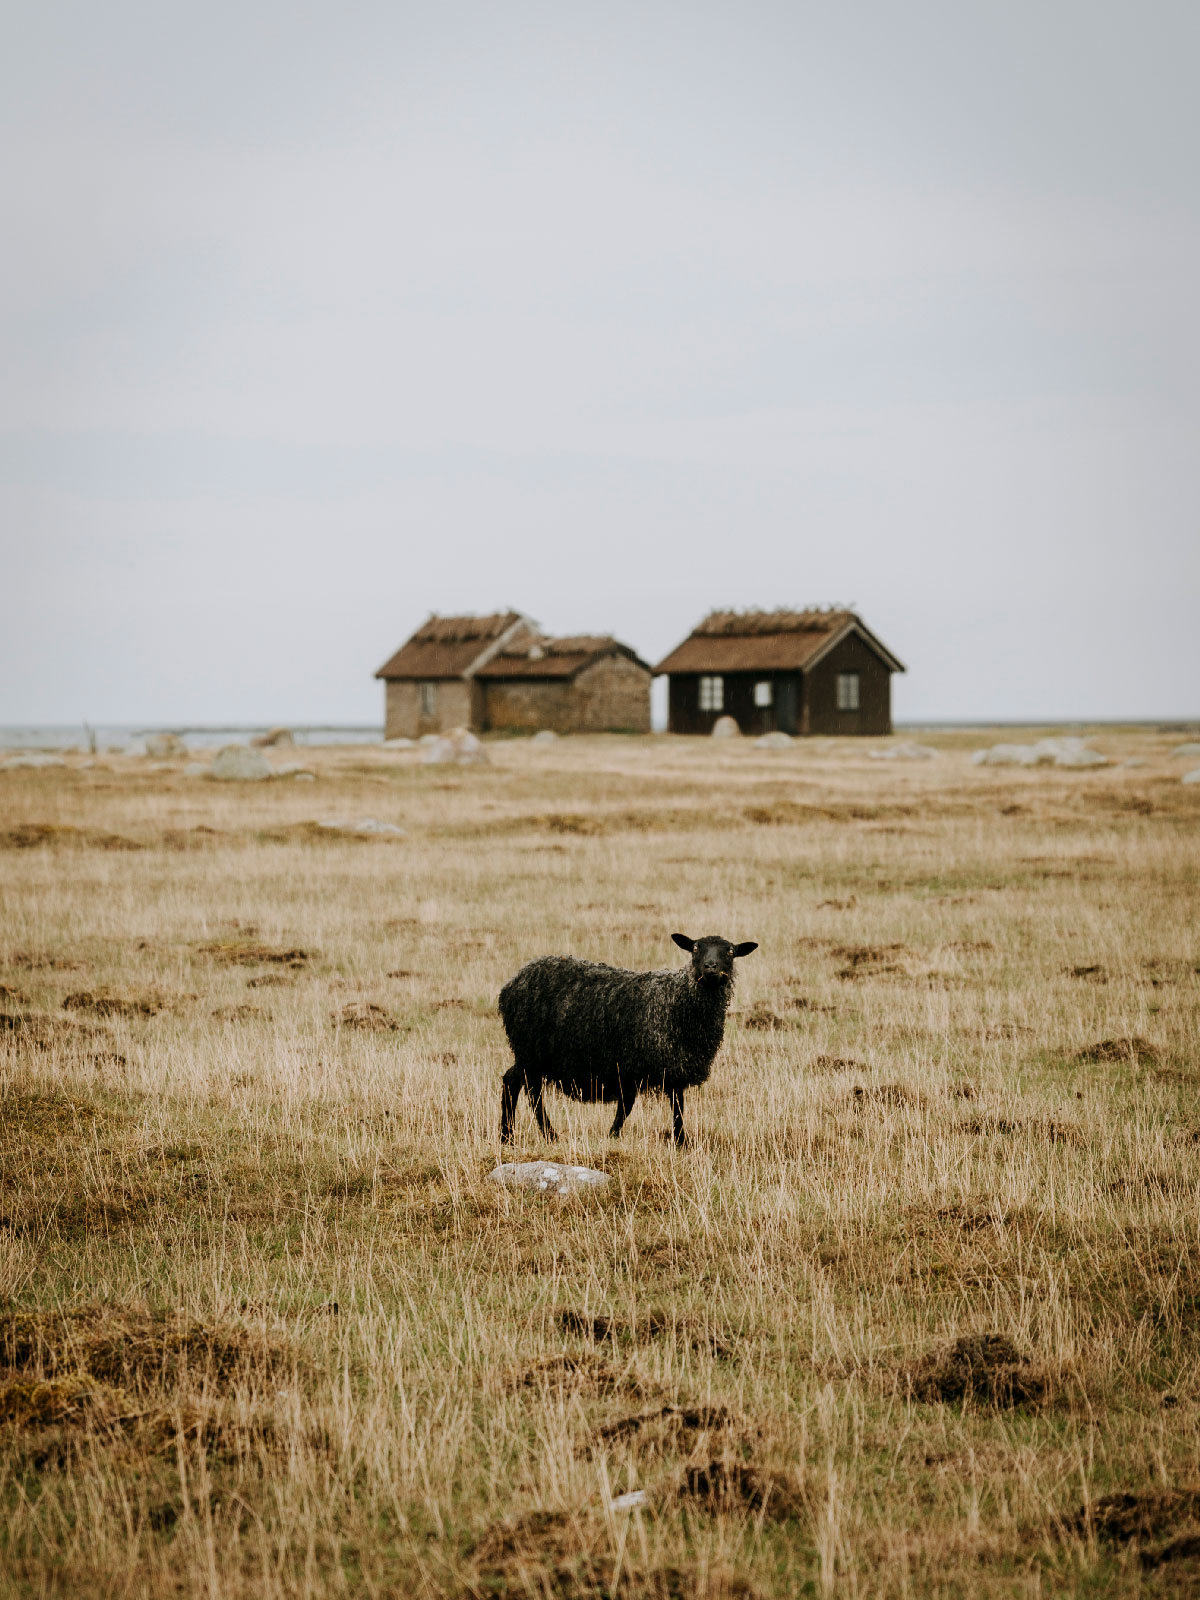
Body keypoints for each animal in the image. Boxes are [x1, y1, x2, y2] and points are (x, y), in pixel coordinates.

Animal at [499, 934, 761, 1145]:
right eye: (695, 948)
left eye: (730, 951)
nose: (710, 967)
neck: (677, 1003)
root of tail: (511, 984)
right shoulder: (644, 1066)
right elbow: (643, 1107)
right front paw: (674, 1142)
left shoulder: (664, 1068)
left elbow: (663, 1106)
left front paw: (676, 1141)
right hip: (529, 1051)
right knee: (515, 1083)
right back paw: (515, 1136)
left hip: (534, 1055)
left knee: (526, 1087)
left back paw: (532, 1135)